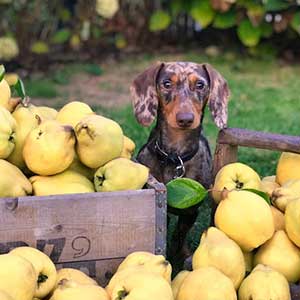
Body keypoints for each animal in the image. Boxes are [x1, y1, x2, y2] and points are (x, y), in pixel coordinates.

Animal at [129, 62, 230, 264]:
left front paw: (183, 254)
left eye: (200, 84)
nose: (185, 119)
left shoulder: (191, 212)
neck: (175, 156)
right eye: (167, 83)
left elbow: (180, 234)